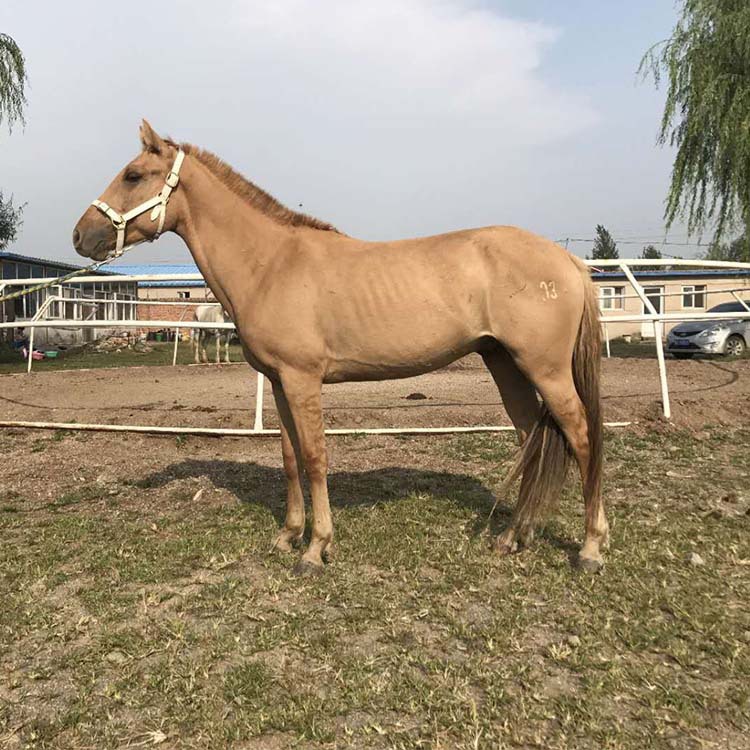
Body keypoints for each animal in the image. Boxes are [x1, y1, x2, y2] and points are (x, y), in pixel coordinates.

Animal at [72, 121, 607, 576]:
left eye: (133, 175)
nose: (80, 236)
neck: (272, 263)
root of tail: (567, 262)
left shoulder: (303, 379)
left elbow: (315, 457)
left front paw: (315, 549)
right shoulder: (280, 382)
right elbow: (289, 457)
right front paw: (289, 536)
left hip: (545, 369)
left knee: (581, 436)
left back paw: (590, 547)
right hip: (505, 364)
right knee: (532, 437)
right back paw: (515, 536)